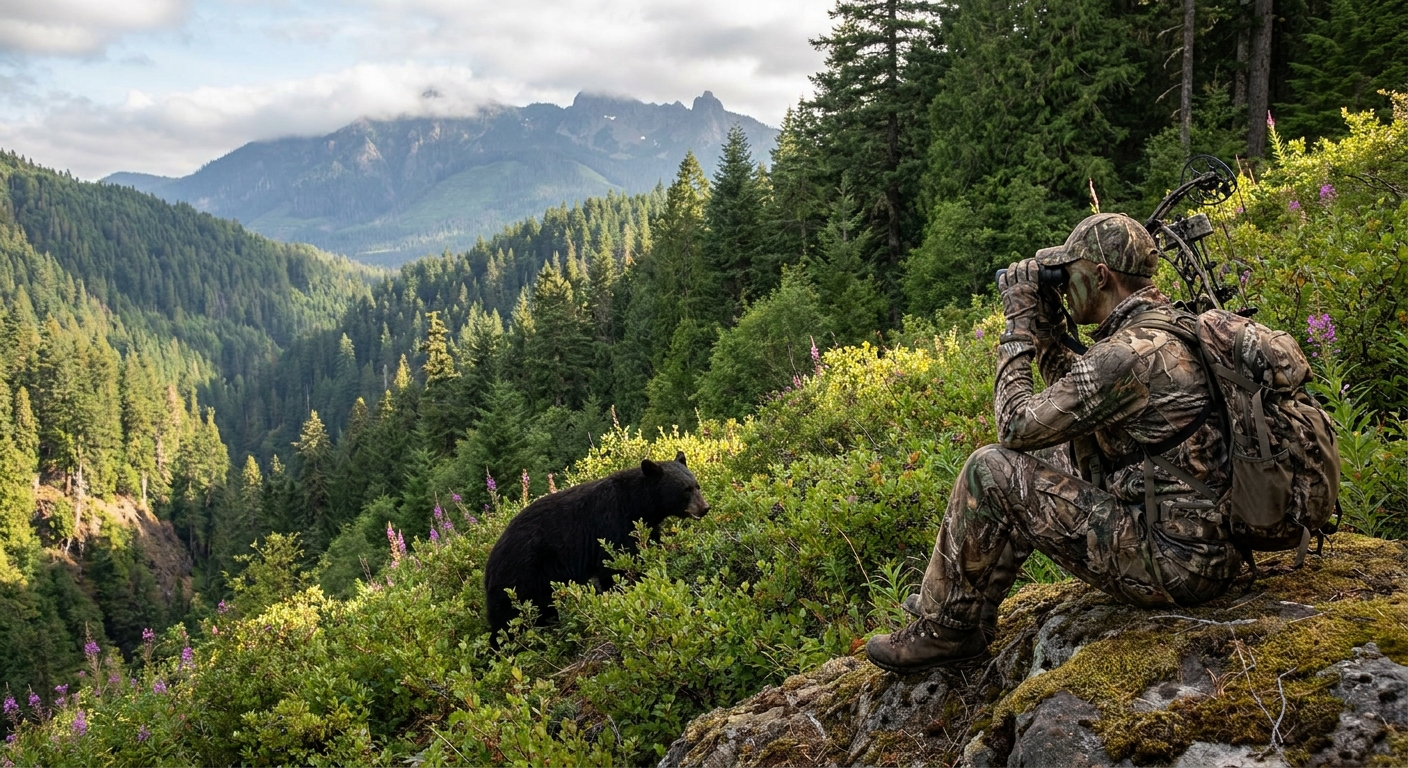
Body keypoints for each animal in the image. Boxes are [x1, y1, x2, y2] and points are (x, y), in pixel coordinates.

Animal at [483, 451, 709, 642]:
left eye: (696, 485)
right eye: (685, 490)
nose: (705, 508)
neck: (636, 504)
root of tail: (488, 567)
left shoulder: (644, 527)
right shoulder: (612, 524)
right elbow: (614, 568)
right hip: (520, 580)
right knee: (508, 621)